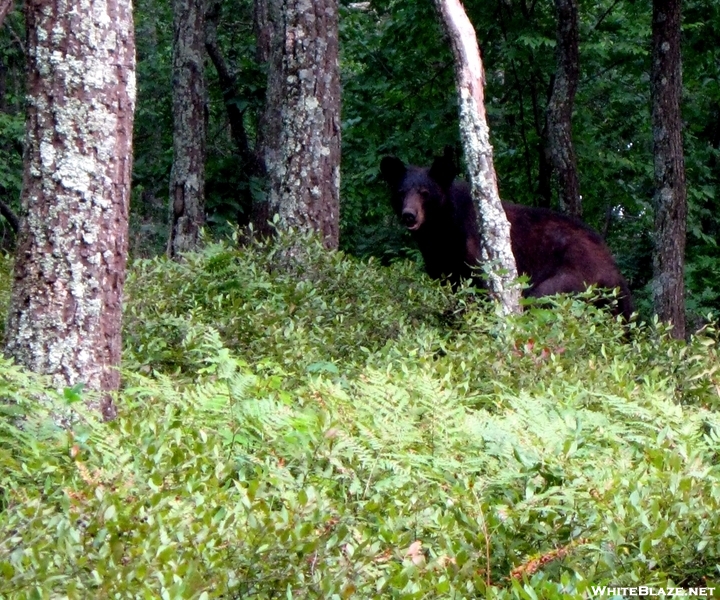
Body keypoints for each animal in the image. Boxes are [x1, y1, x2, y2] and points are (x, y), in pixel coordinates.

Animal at [380, 149, 632, 318]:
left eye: (425, 192)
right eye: (401, 192)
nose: (409, 215)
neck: (441, 230)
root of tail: (615, 272)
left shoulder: (473, 252)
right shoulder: (441, 264)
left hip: (571, 278)